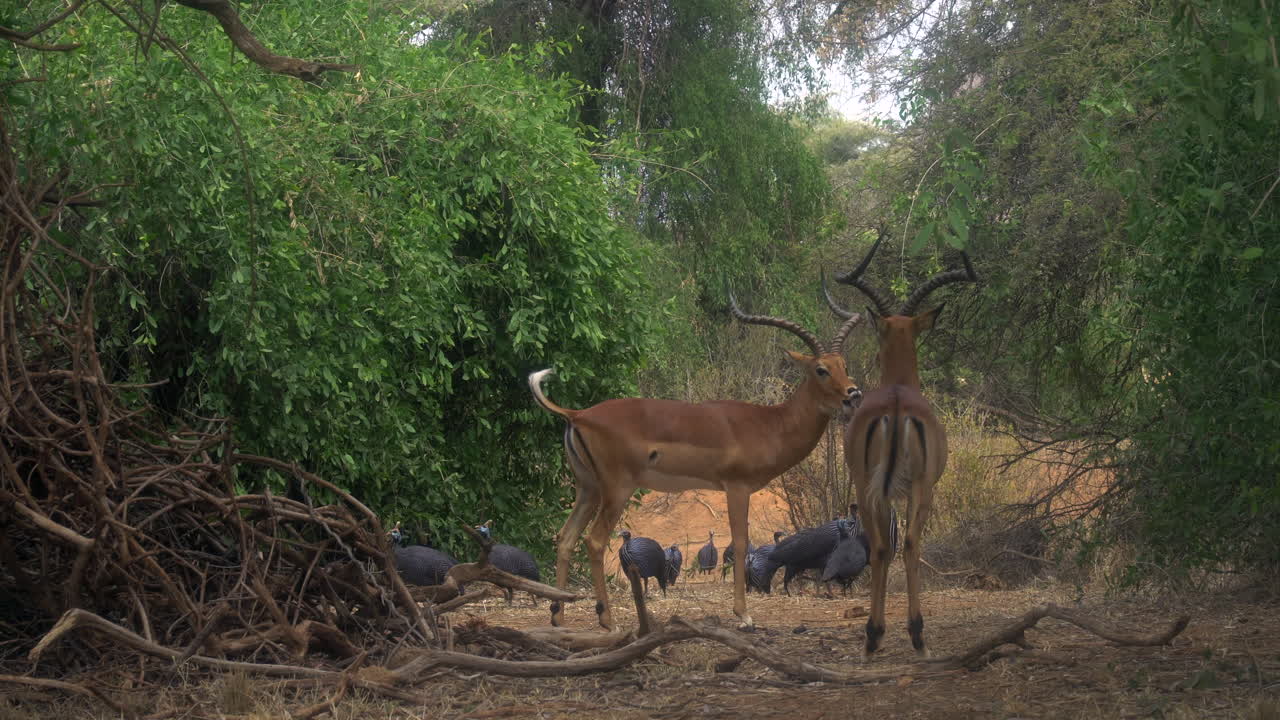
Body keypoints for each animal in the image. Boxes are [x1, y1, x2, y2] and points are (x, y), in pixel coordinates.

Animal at [529, 294, 864, 630]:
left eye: (843, 365)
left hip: (588, 488)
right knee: (594, 541)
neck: (771, 424)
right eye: (821, 369)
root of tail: (577, 415)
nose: (854, 394)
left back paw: (558, 618)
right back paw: (608, 622)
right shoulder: (737, 487)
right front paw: (744, 616)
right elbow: (740, 542)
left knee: (565, 538)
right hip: (616, 489)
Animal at [826, 231, 978, 657]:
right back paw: (912, 634)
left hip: (871, 487)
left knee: (881, 547)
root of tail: (894, 406)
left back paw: (875, 634)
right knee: (908, 544)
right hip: (918, 489)